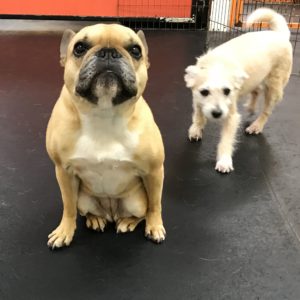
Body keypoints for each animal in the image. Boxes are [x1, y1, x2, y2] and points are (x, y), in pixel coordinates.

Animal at [184, 8, 292, 173]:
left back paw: (256, 126)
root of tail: (280, 34)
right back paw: (251, 108)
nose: (217, 113)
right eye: (204, 92)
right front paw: (196, 129)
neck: (217, 64)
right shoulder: (196, 100)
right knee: (255, 91)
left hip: (274, 87)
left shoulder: (231, 117)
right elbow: (198, 115)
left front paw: (224, 161)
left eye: (227, 91)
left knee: (266, 110)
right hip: (255, 78)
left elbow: (226, 140)